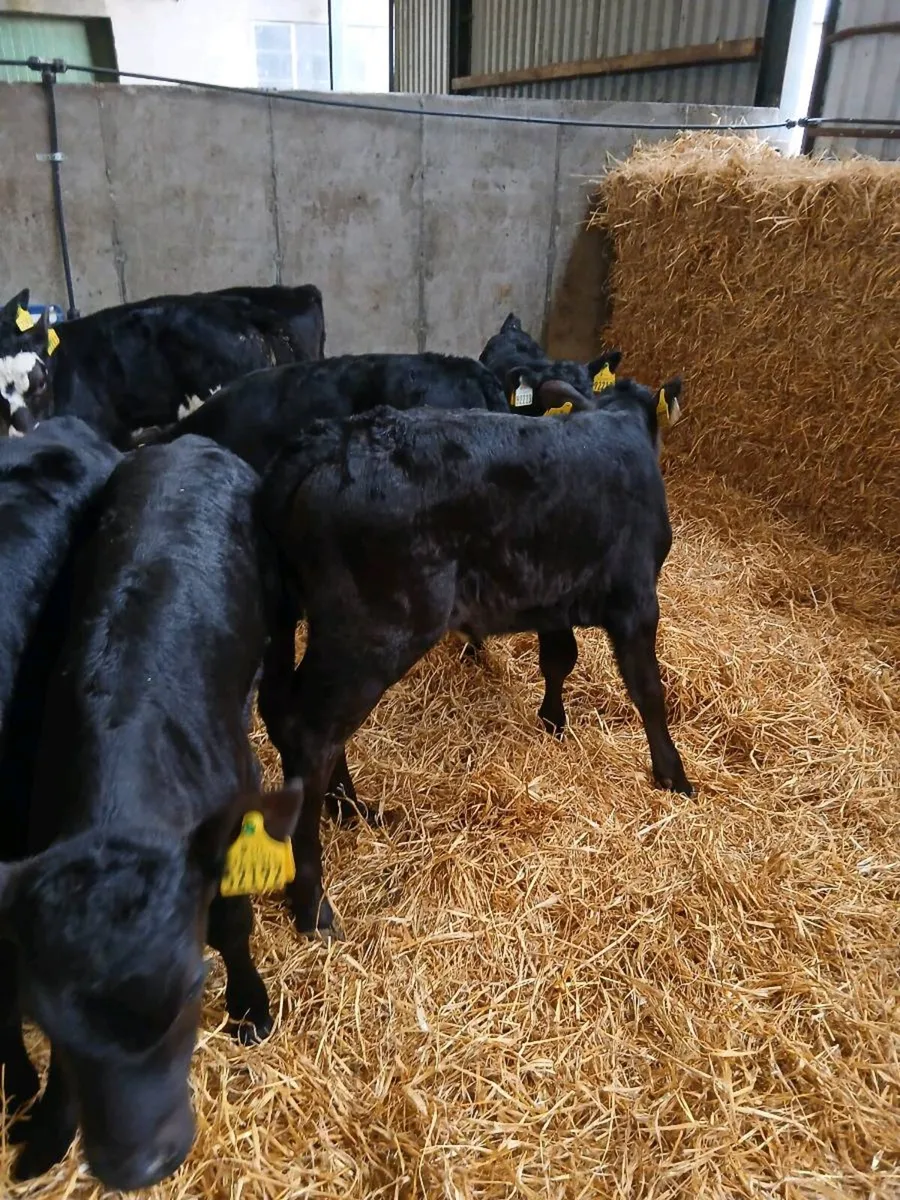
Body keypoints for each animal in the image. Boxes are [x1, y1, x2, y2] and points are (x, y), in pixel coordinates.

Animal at [0, 436, 300, 1189]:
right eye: (46, 1019)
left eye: (194, 986)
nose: (138, 1164)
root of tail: (189, 441)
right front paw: (46, 1127)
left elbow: (232, 921)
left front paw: (250, 1003)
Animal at [256, 377, 692, 940]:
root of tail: (329, 438)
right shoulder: (637, 599)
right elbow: (648, 691)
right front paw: (673, 775)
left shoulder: (550, 594)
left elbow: (559, 658)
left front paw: (553, 720)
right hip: (375, 632)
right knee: (311, 734)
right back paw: (312, 903)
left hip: (293, 618)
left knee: (293, 718)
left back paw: (352, 809)